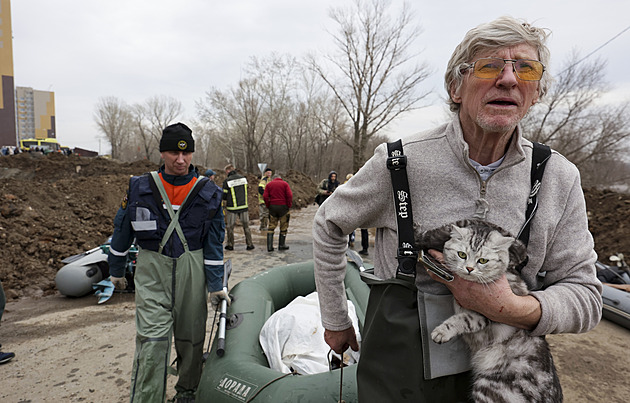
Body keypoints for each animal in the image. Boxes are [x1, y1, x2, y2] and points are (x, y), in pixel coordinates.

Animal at [420, 221, 564, 403]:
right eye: (461, 254)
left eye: (482, 260)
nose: (469, 268)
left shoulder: (487, 312)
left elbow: (462, 320)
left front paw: (442, 332)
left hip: (490, 388)